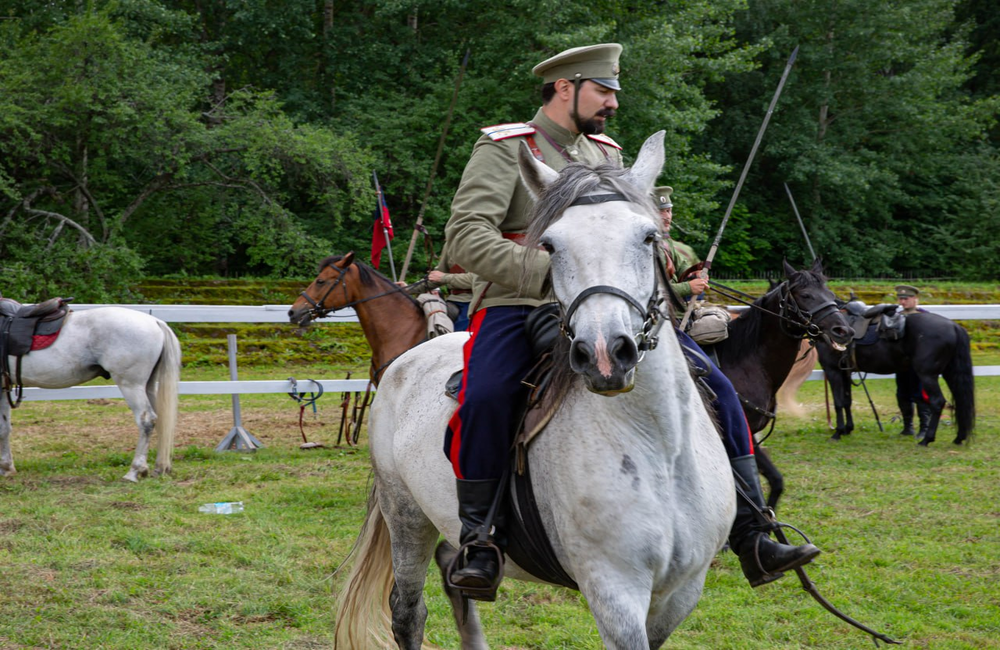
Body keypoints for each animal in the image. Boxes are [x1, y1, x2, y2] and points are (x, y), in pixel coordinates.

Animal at [0, 306, 180, 480]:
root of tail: (155, 321)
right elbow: (4, 428)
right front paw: (7, 468)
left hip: (131, 385)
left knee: (146, 420)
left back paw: (135, 471)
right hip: (147, 385)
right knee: (161, 421)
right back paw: (159, 468)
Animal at [336, 133, 736, 648]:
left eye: (649, 237)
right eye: (549, 244)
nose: (605, 354)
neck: (659, 447)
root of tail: (406, 361)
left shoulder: (680, 593)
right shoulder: (614, 591)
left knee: (451, 570)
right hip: (404, 512)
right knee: (408, 612)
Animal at [712, 258, 852, 506]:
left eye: (831, 294)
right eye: (805, 295)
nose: (844, 331)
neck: (740, 362)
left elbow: (775, 482)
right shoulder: (738, 436)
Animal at [816, 306, 972, 442]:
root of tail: (954, 326)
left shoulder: (833, 370)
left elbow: (838, 402)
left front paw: (838, 432)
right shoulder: (845, 372)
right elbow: (847, 401)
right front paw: (848, 429)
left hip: (927, 375)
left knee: (937, 402)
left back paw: (926, 439)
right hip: (950, 373)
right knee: (960, 399)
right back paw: (959, 438)